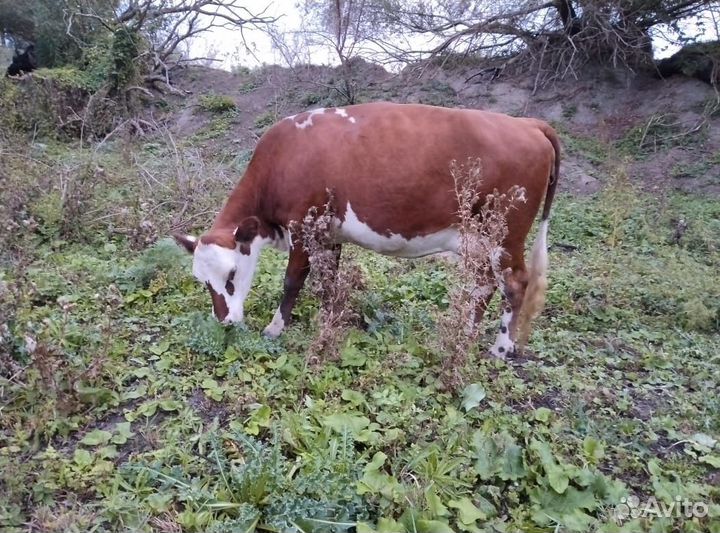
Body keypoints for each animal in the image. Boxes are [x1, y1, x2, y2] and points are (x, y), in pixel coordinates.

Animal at [174, 102, 560, 358]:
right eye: (201, 281)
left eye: (232, 275)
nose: (225, 322)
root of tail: (528, 123)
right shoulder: (329, 234)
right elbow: (328, 281)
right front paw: (330, 318)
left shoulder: (303, 226)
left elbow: (293, 280)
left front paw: (275, 328)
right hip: (478, 240)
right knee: (484, 285)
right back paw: (466, 335)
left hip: (505, 234)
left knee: (514, 284)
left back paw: (501, 347)